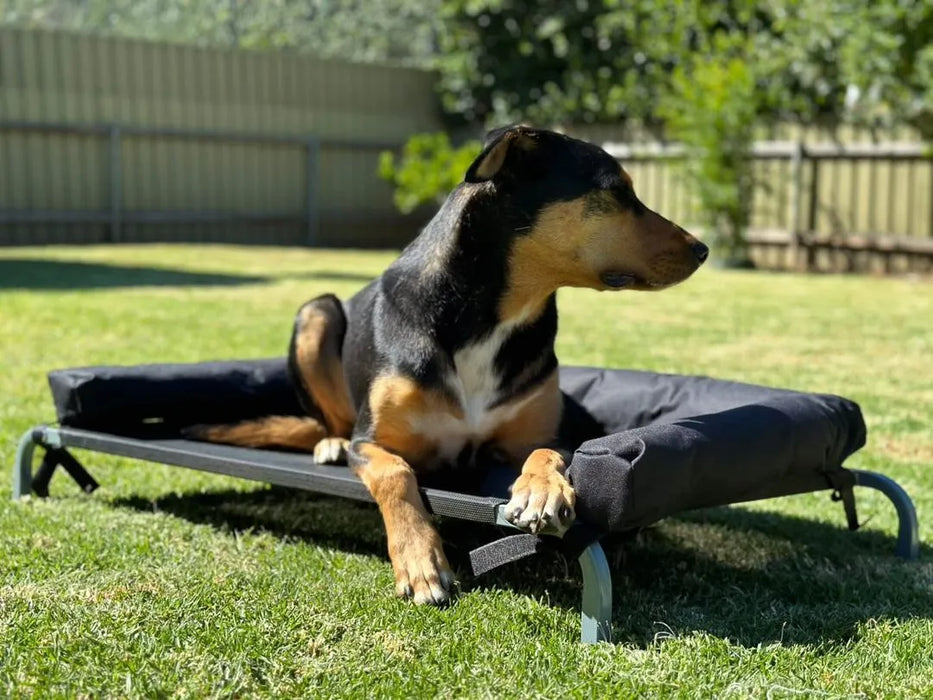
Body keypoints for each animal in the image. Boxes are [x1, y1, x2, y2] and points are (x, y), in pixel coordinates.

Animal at [191, 127, 708, 608]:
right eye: (617, 191)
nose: (702, 249)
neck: (491, 317)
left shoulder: (537, 435)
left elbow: (549, 452)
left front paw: (542, 490)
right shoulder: (372, 442)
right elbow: (397, 474)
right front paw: (420, 561)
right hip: (316, 312)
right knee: (330, 418)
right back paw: (330, 443)